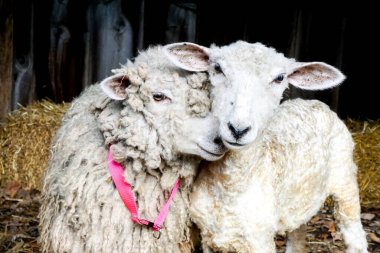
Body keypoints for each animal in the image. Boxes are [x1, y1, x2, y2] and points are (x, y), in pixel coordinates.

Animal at [164, 42, 368, 253]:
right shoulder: (209, 237)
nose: (238, 129)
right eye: (218, 68)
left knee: (354, 232)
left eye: (279, 78)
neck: (230, 187)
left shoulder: (260, 239)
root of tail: (316, 103)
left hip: (345, 178)